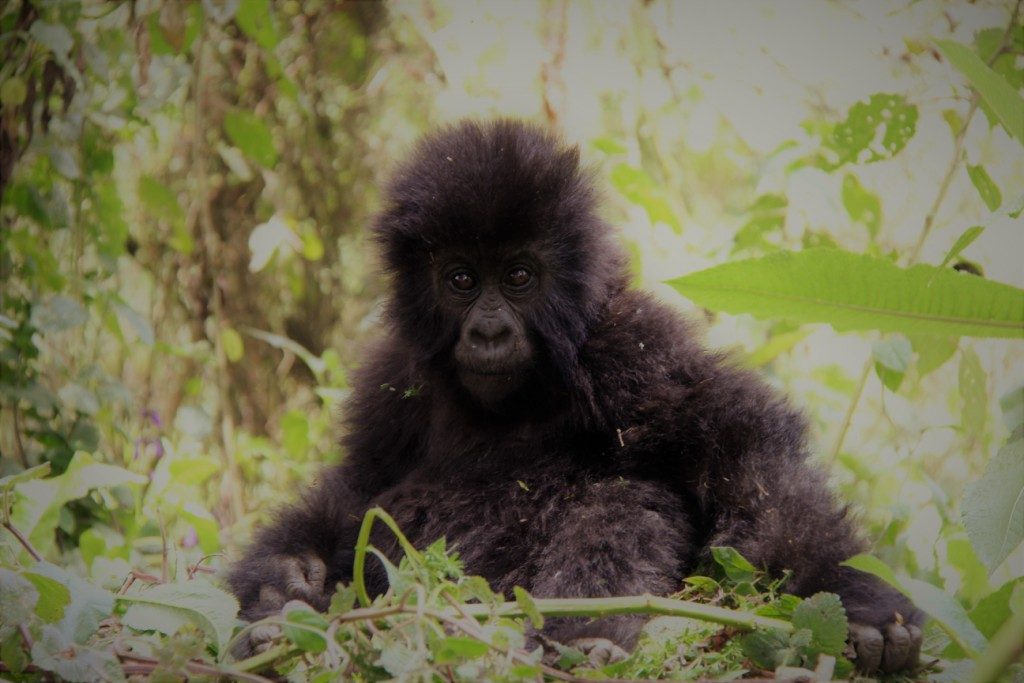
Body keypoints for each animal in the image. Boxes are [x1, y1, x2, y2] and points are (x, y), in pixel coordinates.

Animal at [228, 118, 925, 671]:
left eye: (518, 276)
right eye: (461, 279)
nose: (488, 331)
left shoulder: (634, 345)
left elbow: (741, 452)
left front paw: (858, 601)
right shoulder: (395, 376)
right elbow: (361, 483)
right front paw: (284, 576)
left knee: (618, 497)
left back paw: (585, 639)